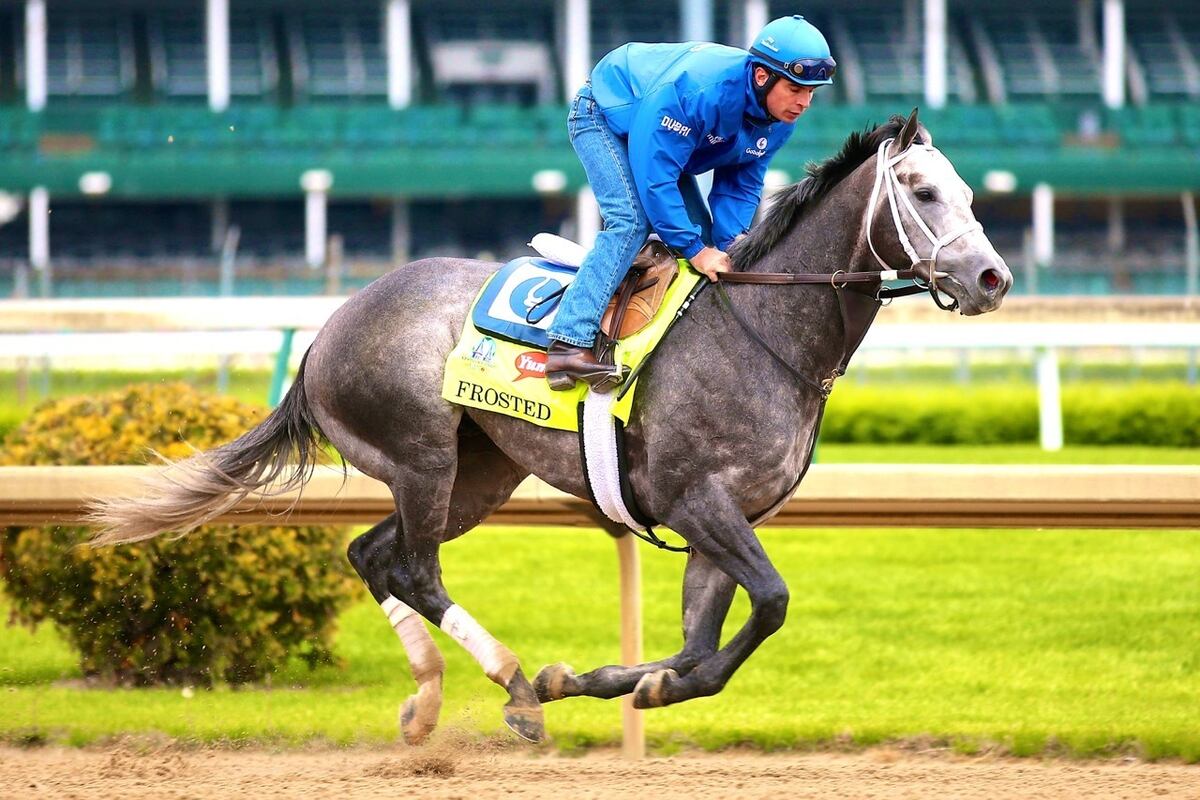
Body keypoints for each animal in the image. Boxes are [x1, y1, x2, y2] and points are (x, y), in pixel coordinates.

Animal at [89, 109, 1012, 745]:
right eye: (922, 192)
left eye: (972, 194)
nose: (993, 278)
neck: (761, 327)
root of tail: (329, 327)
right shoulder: (697, 500)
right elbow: (769, 607)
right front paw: (594, 685)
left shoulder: (725, 519)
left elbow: (699, 649)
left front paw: (607, 681)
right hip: (422, 457)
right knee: (414, 568)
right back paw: (513, 689)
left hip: (477, 475)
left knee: (370, 554)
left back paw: (431, 700)